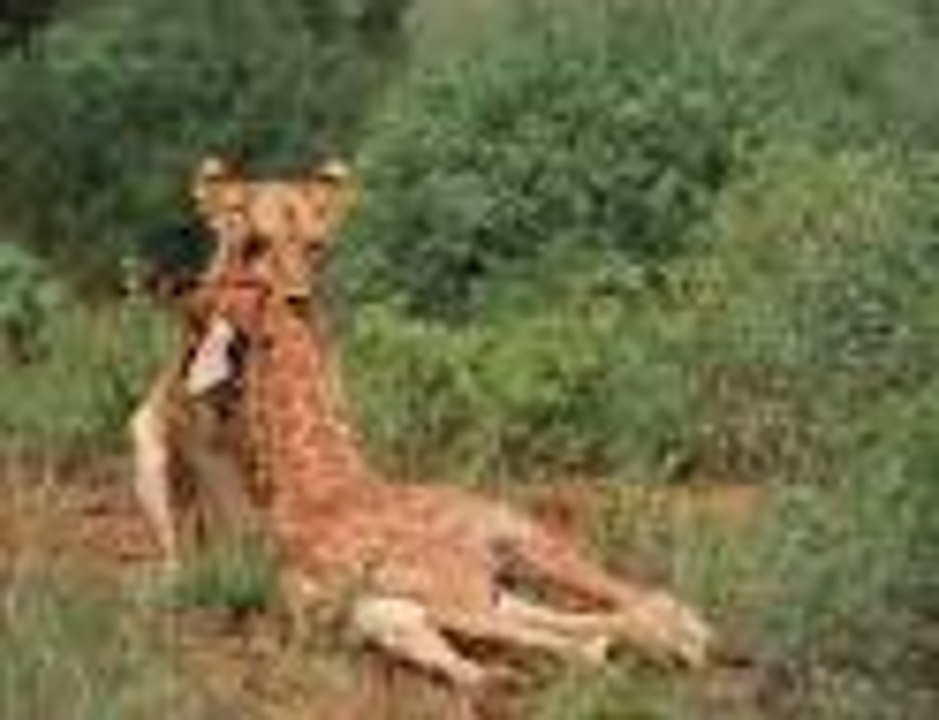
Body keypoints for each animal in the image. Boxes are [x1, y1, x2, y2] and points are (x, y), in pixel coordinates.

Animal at [184, 158, 716, 689]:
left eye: (315, 240)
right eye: (250, 239)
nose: (193, 297)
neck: (312, 474)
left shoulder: (445, 590)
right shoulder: (386, 607)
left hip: (526, 544)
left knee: (633, 597)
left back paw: (682, 639)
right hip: (480, 583)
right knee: (586, 618)